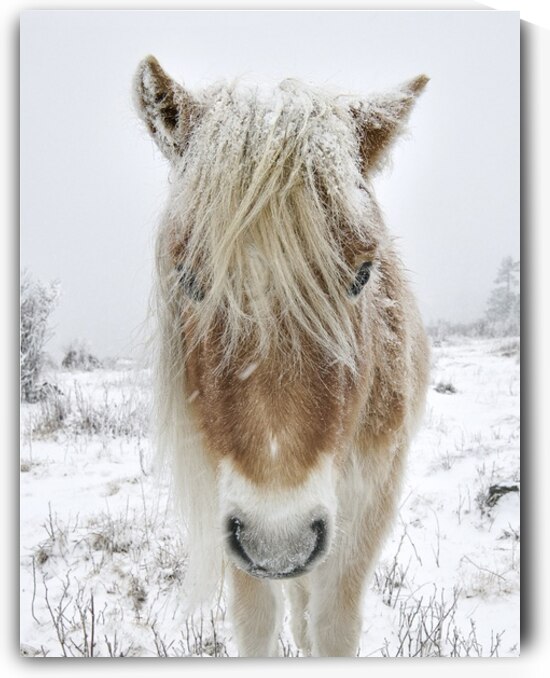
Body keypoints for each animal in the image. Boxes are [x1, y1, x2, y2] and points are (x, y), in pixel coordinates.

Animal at [134, 56, 430, 657]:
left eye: (363, 273)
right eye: (189, 279)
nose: (280, 542)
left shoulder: (367, 504)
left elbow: (334, 625)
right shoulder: (233, 514)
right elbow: (258, 622)